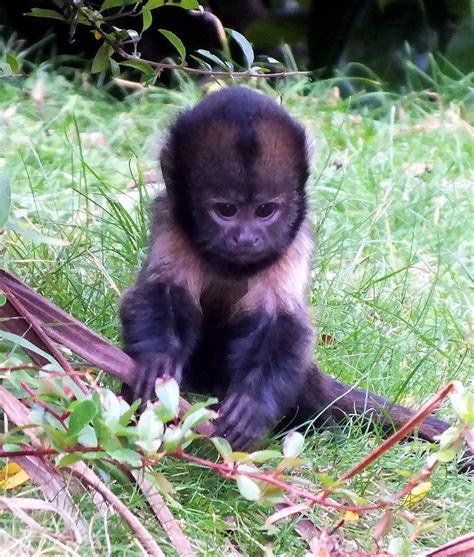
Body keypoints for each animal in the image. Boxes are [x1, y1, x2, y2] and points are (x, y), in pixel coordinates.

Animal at [118, 86, 452, 452]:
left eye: (265, 210)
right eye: (226, 210)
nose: (246, 238)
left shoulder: (295, 238)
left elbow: (281, 322)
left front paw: (253, 404)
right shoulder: (170, 219)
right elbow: (160, 292)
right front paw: (158, 360)